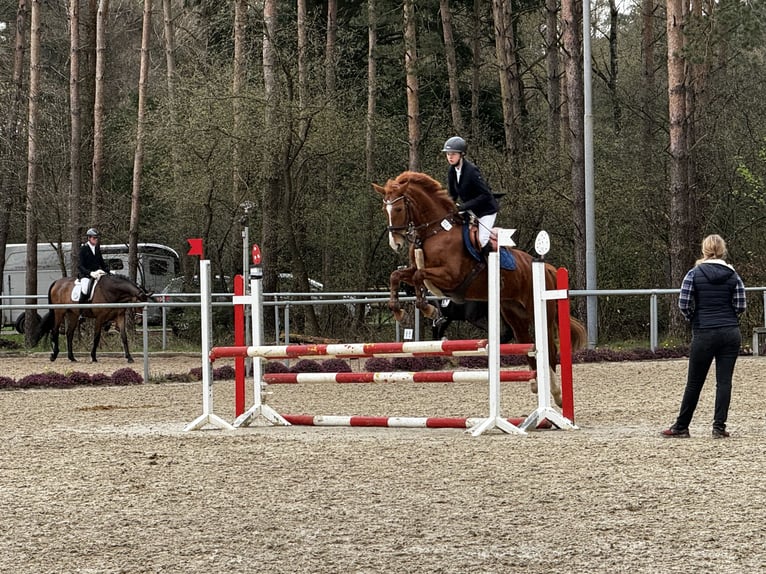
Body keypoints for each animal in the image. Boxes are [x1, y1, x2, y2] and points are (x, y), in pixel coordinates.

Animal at [374, 172, 588, 410]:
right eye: (384, 209)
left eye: (398, 209)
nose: (396, 243)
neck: (434, 231)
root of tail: (547, 267)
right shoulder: (418, 270)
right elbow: (398, 275)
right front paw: (400, 311)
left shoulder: (450, 276)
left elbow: (419, 277)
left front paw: (428, 309)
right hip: (514, 314)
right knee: (528, 345)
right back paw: (535, 383)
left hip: (540, 312)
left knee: (549, 350)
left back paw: (557, 394)